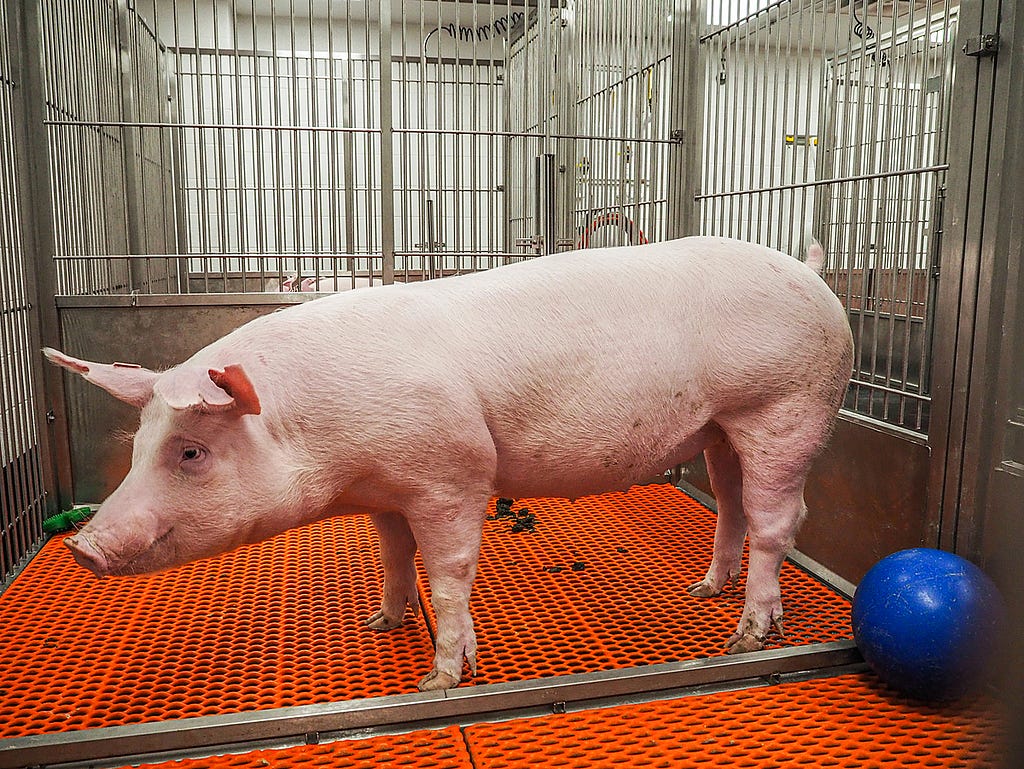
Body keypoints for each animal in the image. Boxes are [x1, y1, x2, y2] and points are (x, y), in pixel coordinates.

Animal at [44, 234, 851, 692]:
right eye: (139, 445)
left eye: (191, 451)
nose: (84, 548)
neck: (323, 433)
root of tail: (811, 275)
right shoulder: (387, 488)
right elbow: (394, 556)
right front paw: (380, 622)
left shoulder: (450, 473)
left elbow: (449, 569)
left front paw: (439, 676)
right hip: (719, 428)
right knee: (733, 504)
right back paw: (702, 590)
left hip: (785, 405)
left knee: (781, 519)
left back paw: (747, 635)